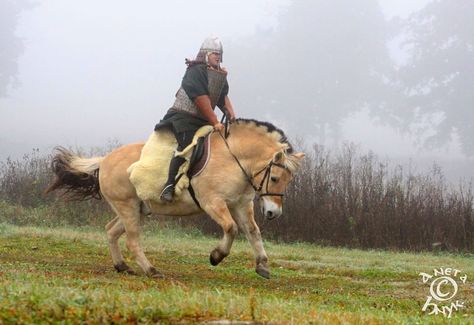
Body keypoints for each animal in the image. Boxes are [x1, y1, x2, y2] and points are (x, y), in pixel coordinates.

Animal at [46, 119, 306, 278]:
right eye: (275, 178)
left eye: (287, 181)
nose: (273, 213)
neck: (233, 158)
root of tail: (104, 160)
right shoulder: (214, 203)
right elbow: (231, 228)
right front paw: (216, 256)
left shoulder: (241, 204)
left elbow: (253, 232)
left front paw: (262, 265)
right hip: (127, 207)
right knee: (132, 240)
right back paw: (151, 270)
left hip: (137, 209)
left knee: (111, 230)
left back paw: (122, 266)